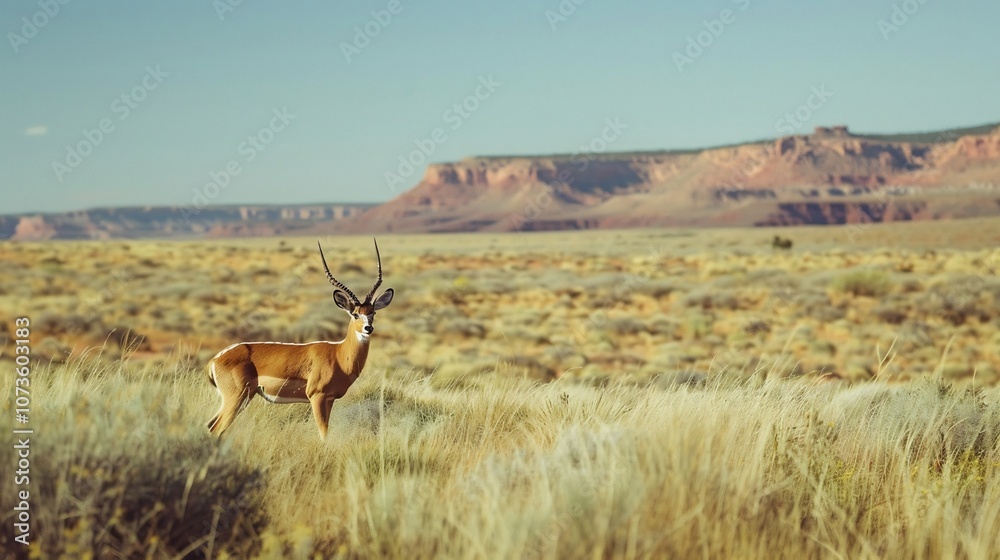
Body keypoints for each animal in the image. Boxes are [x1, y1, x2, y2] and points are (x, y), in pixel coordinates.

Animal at [206, 239, 394, 439]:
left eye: (373, 313)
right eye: (355, 314)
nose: (368, 328)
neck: (338, 355)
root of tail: (215, 359)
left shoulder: (329, 399)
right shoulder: (317, 397)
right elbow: (323, 435)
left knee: (210, 425)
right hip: (237, 398)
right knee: (216, 428)